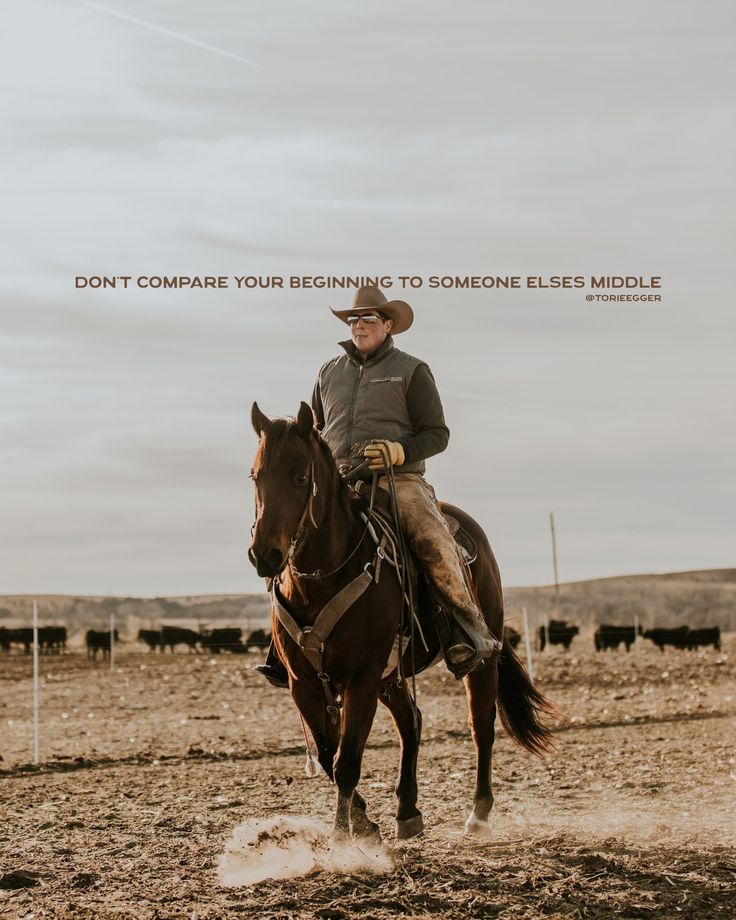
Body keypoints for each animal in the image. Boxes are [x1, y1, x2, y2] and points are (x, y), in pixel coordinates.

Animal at [250, 402, 556, 840]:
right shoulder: (302, 683)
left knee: (481, 725)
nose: (264, 555)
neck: (322, 581)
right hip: (390, 678)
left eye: (300, 476)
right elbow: (327, 759)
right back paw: (407, 811)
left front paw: (342, 840)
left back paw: (478, 813)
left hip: (479, 660)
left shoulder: (362, 676)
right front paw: (363, 823)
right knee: (411, 722)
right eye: (255, 476)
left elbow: (346, 762)